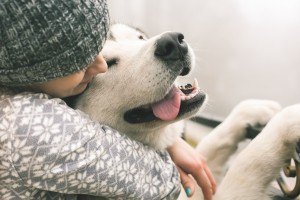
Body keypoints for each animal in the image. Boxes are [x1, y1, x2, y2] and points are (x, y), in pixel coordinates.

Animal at [74, 24, 300, 199]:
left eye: (140, 38)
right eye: (108, 63)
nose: (172, 42)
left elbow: (210, 145)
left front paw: (251, 110)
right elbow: (247, 163)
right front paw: (289, 119)